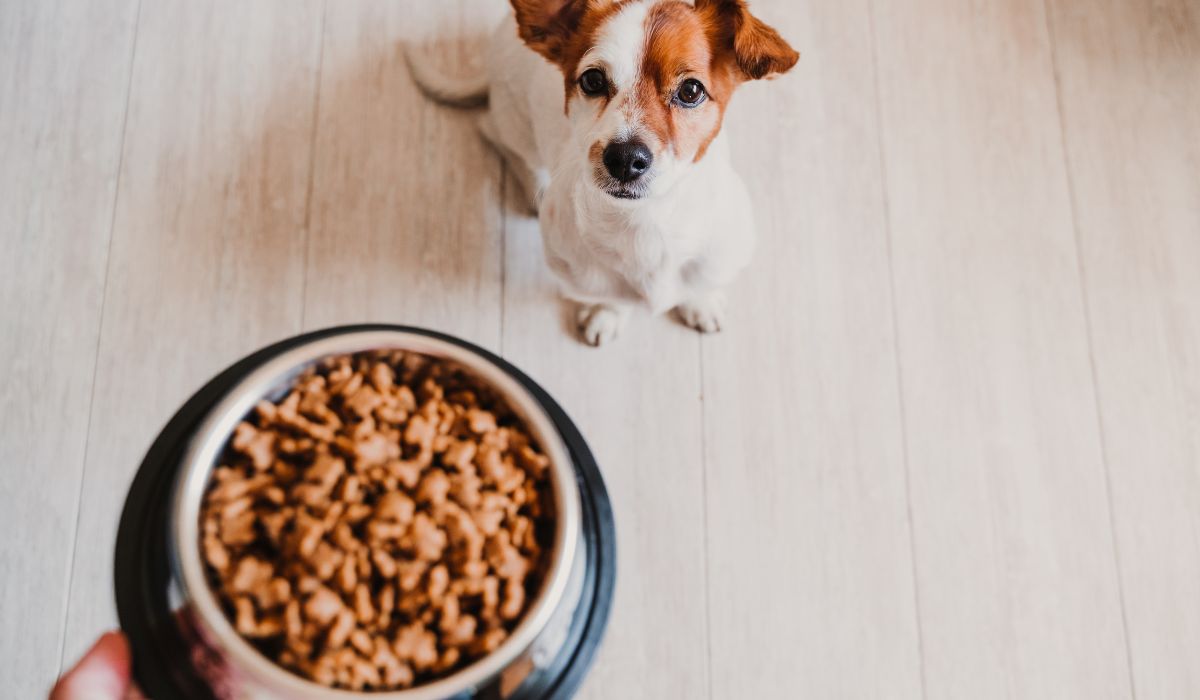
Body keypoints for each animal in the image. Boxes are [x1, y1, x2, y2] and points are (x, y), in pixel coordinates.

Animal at [410, 0, 796, 345]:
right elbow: (610, 297)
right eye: (593, 80)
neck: (645, 221)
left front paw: (700, 301)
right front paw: (606, 313)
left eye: (691, 90)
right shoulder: (582, 276)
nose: (624, 158)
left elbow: (701, 283)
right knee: (493, 133)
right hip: (514, 126)